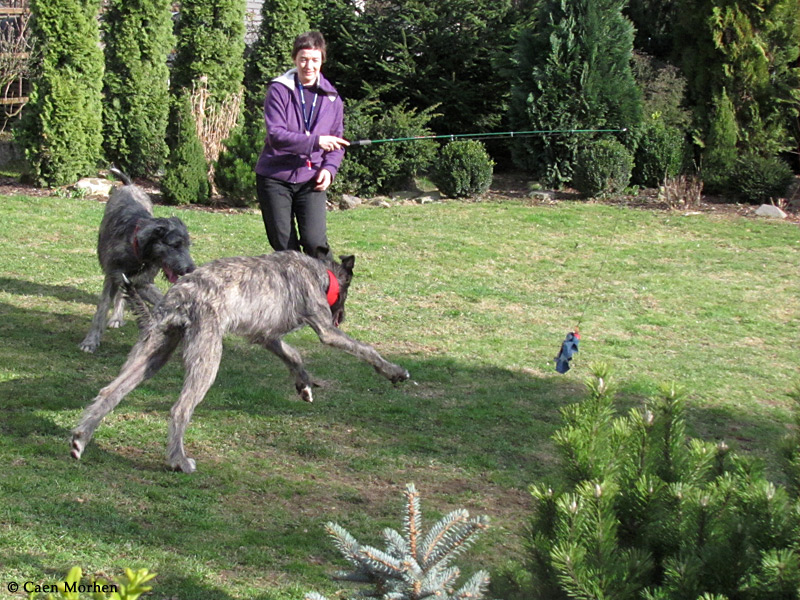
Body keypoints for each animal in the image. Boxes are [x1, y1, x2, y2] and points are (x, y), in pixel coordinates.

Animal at [70, 248, 412, 474]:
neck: (319, 272)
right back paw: (179, 460)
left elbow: (293, 354)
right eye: (346, 293)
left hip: (152, 354)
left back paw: (80, 439)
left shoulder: (266, 336)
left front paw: (303, 383)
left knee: (109, 392)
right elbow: (365, 349)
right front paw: (393, 371)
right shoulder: (325, 329)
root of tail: (179, 297)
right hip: (207, 358)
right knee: (180, 409)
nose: (343, 316)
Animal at [78, 166, 197, 354]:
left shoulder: (142, 282)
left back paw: (117, 317)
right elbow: (102, 308)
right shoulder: (113, 276)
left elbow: (160, 298)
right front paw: (90, 341)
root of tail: (130, 185)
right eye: (175, 245)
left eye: (187, 245)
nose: (191, 269)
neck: (137, 250)